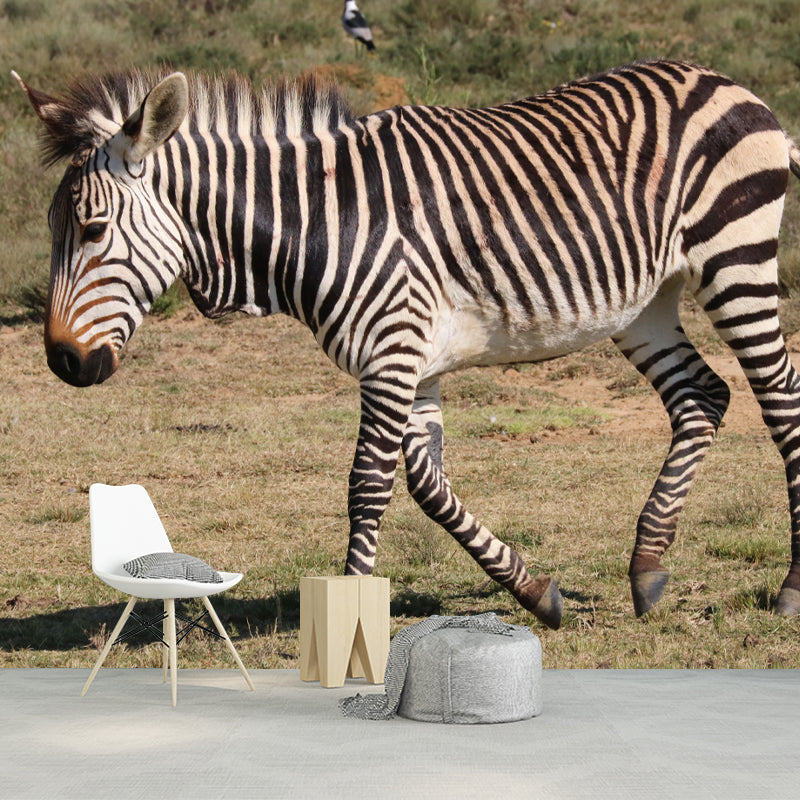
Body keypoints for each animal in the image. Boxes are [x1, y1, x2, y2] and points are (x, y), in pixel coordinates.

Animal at [14, 59, 800, 630]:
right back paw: (647, 568)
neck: (319, 219)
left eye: (91, 231)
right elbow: (427, 484)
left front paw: (349, 616)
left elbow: (368, 484)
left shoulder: (392, 348)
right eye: (53, 231)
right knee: (703, 396)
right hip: (646, 303)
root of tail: (725, 82)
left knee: (780, 401)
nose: (62, 361)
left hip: (735, 260)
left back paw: (789, 590)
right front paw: (535, 591)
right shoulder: (411, 361)